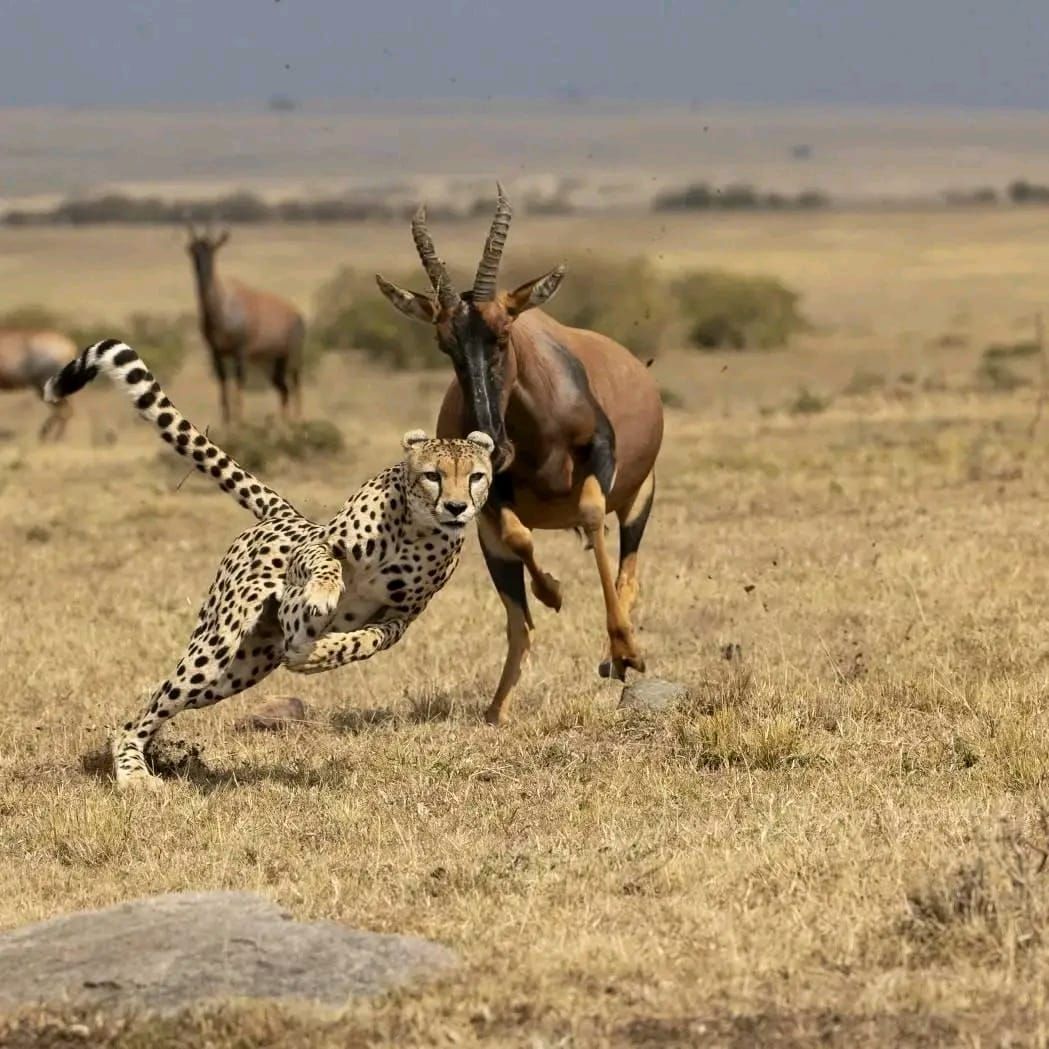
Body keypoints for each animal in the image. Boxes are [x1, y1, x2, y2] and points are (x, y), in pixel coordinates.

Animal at [44, 339, 494, 791]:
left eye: (475, 477)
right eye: (433, 475)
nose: (457, 507)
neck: (417, 528)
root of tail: (283, 515)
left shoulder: (400, 618)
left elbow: (362, 641)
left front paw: (318, 653)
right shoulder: (317, 546)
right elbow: (325, 564)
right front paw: (323, 595)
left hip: (241, 668)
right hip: (215, 647)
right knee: (145, 712)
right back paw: (133, 771)